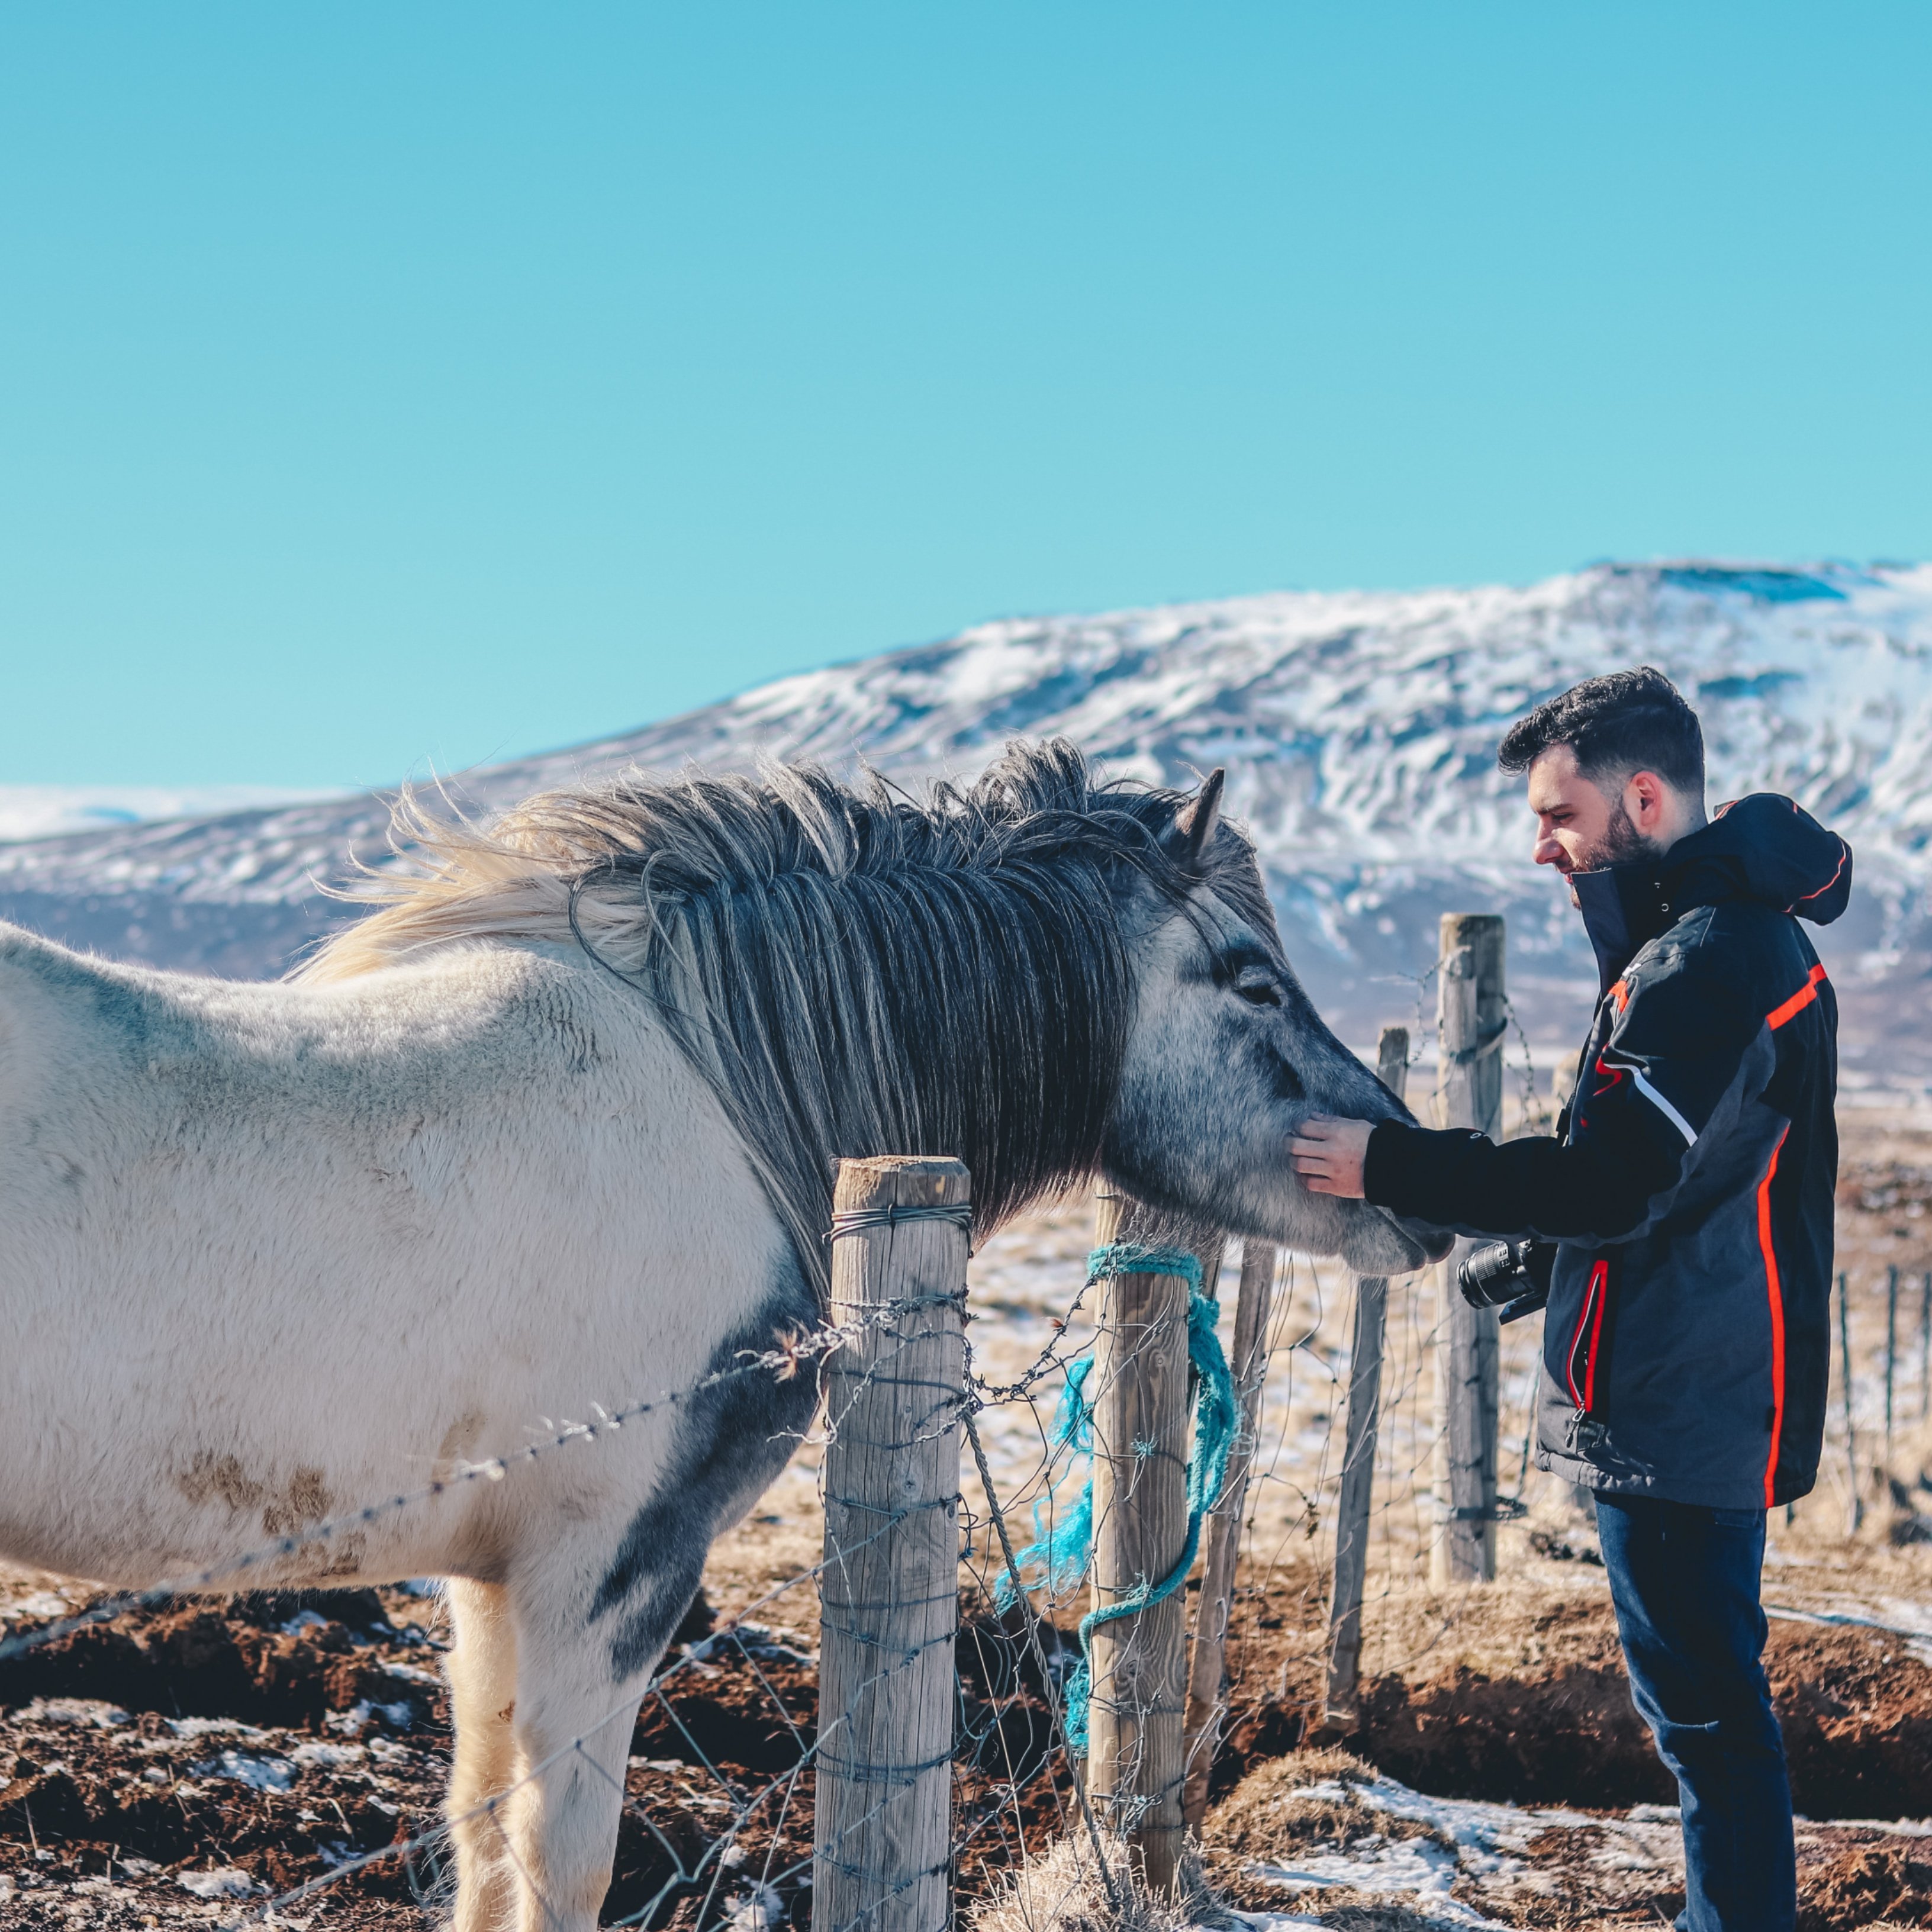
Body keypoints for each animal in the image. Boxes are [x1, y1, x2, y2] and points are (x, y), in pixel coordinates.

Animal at [0, 742, 1429, 1932]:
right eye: (1252, 977)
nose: (1409, 1184)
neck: (718, 1097)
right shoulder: (612, 1563)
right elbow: (559, 1860)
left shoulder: (495, 1574)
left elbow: (480, 1836)